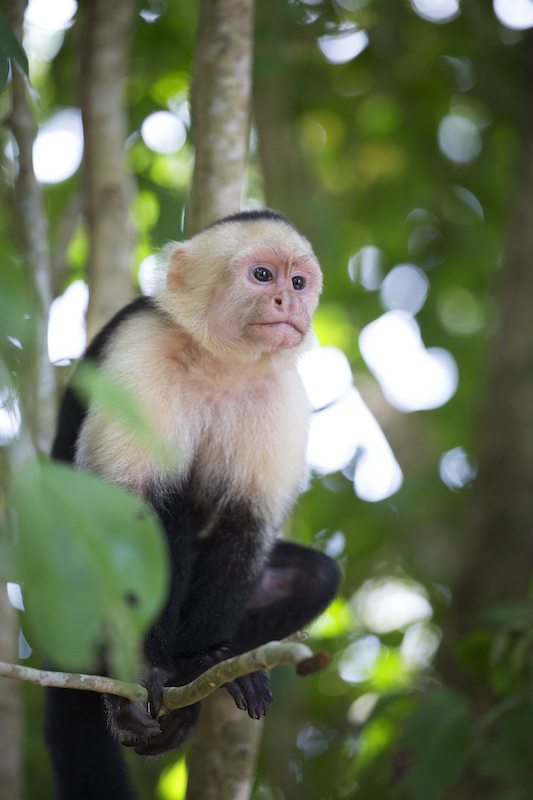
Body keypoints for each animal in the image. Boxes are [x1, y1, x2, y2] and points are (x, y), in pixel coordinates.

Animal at [44, 209, 336, 796]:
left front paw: (203, 662)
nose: (287, 303)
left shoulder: (283, 397)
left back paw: (195, 682)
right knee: (166, 509)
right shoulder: (138, 353)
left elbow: (246, 528)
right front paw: (145, 673)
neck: (220, 360)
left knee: (314, 576)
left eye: (299, 282)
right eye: (263, 275)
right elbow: (129, 517)